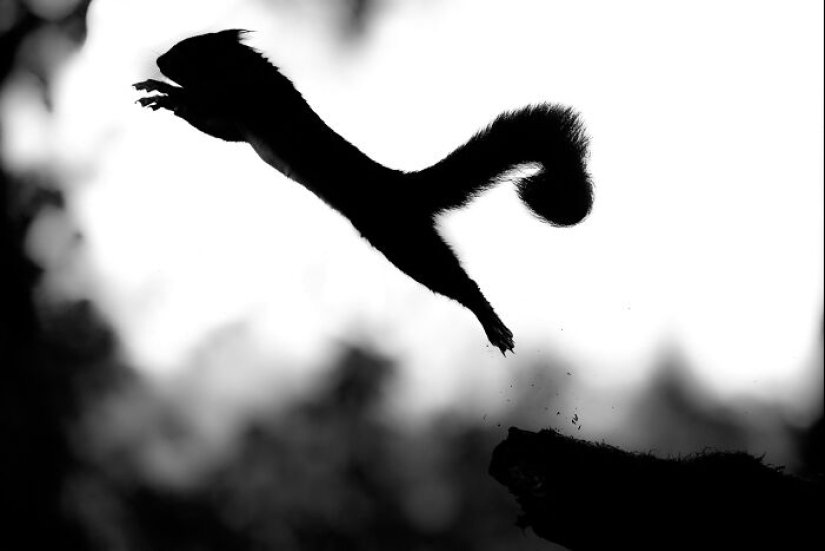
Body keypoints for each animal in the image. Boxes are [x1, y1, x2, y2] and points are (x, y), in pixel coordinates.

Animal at [134, 30, 593, 355]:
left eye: (188, 49)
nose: (160, 58)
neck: (247, 73)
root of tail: (400, 186)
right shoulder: (240, 122)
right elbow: (216, 125)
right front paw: (158, 92)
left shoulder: (244, 104)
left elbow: (209, 114)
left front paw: (165, 92)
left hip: (400, 238)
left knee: (454, 279)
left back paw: (493, 324)